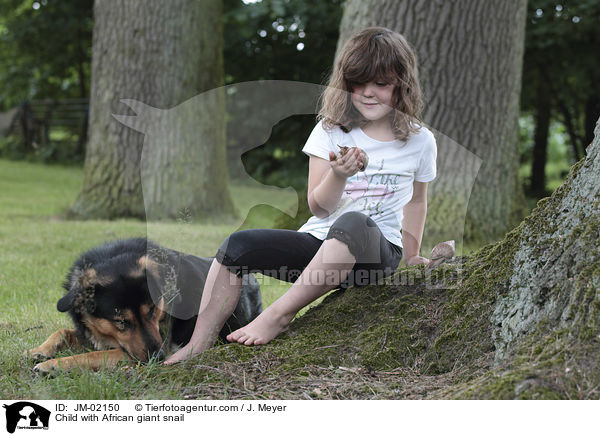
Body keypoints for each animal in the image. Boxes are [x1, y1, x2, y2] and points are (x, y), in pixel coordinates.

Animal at [24, 237, 262, 372]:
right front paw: (39, 351)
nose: (158, 358)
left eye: (153, 311)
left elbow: (90, 355)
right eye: (121, 322)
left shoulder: (134, 351)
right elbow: (62, 331)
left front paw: (52, 365)